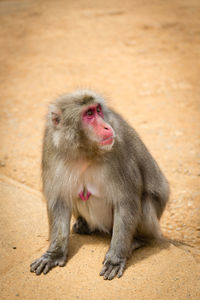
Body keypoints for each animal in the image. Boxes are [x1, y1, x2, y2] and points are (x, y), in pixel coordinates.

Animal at [30, 90, 169, 280]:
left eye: (98, 110)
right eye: (88, 114)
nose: (106, 127)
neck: (84, 151)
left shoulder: (119, 150)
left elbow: (127, 202)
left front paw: (115, 259)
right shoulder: (51, 149)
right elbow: (59, 201)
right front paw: (54, 253)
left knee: (145, 206)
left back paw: (138, 240)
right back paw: (84, 225)